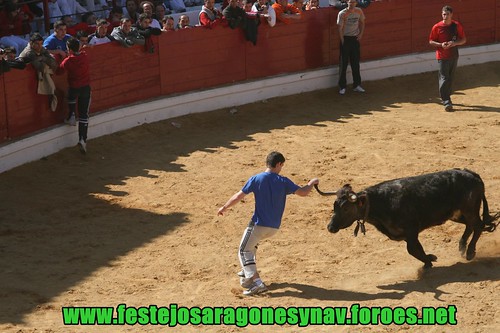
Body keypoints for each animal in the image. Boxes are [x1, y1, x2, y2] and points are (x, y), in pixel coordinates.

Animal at [314, 169, 498, 268]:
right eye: (334, 206)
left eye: (345, 208)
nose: (330, 227)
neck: (382, 202)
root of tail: (471, 174)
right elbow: (415, 250)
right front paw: (428, 261)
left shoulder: (411, 231)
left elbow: (412, 249)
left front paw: (430, 259)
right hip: (457, 214)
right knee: (471, 226)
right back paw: (461, 247)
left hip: (469, 210)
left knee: (478, 226)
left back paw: (470, 252)